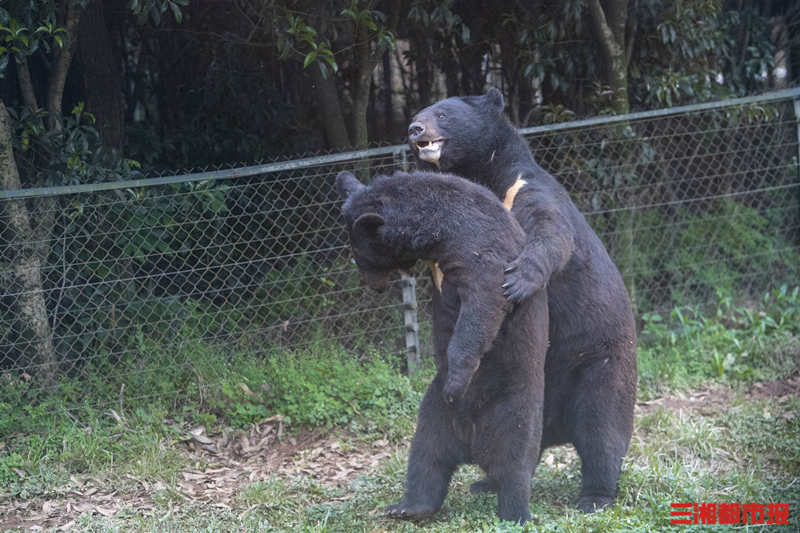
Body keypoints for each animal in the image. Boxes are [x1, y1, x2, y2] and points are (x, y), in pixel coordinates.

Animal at [334, 171, 548, 524]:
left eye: (362, 258)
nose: (373, 287)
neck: (431, 230)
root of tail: (471, 442)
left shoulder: (473, 238)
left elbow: (485, 296)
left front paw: (457, 381)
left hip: (514, 404)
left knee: (514, 461)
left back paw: (515, 512)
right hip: (433, 414)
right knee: (426, 457)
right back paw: (408, 507)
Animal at [406, 88, 636, 512]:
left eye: (442, 114)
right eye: (419, 113)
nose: (415, 129)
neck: (487, 175)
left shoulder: (524, 189)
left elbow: (551, 229)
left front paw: (516, 282)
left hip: (602, 364)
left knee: (601, 430)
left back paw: (594, 496)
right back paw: (477, 486)